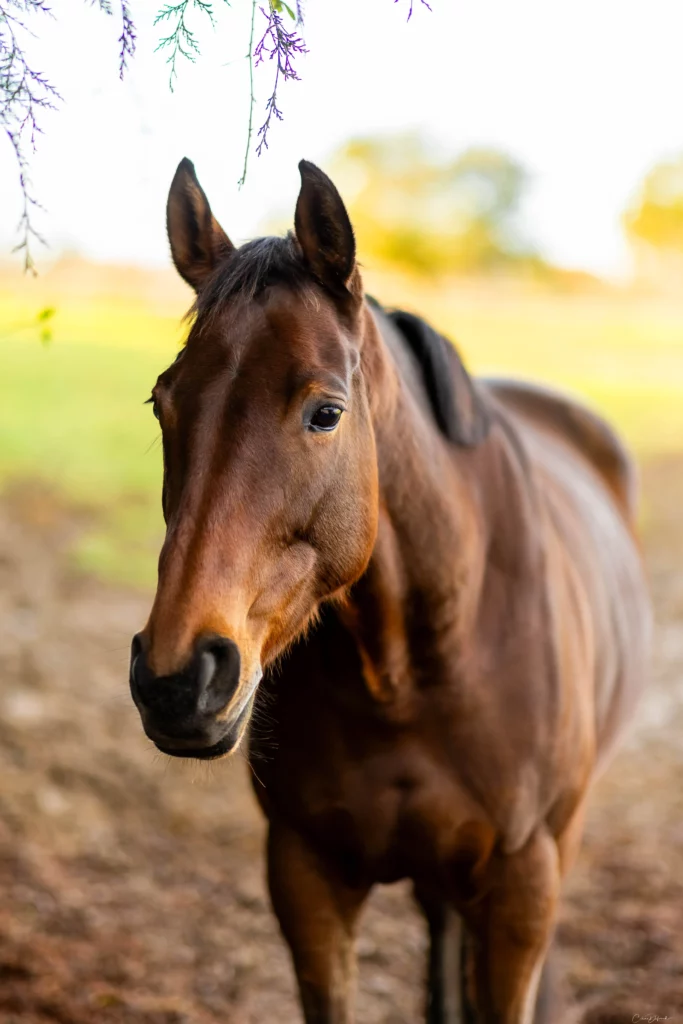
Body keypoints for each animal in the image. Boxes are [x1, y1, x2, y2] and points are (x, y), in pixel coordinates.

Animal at [129, 157, 651, 1024]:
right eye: (161, 401)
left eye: (326, 412)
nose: (176, 680)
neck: (416, 668)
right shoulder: (304, 873)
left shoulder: (521, 887)